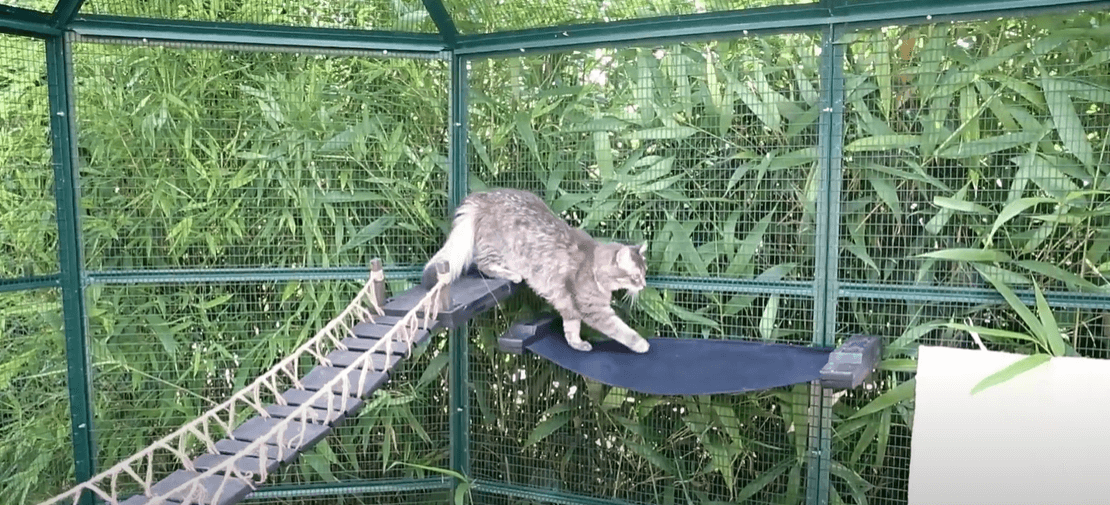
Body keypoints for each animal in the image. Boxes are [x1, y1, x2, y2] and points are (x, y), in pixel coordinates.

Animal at [421, 187, 648, 352]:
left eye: (644, 274)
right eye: (636, 276)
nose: (644, 285)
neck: (592, 265)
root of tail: (484, 197)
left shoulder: (569, 307)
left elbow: (571, 330)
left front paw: (577, 344)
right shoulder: (596, 311)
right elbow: (623, 331)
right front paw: (642, 344)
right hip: (497, 249)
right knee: (484, 265)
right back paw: (512, 274)